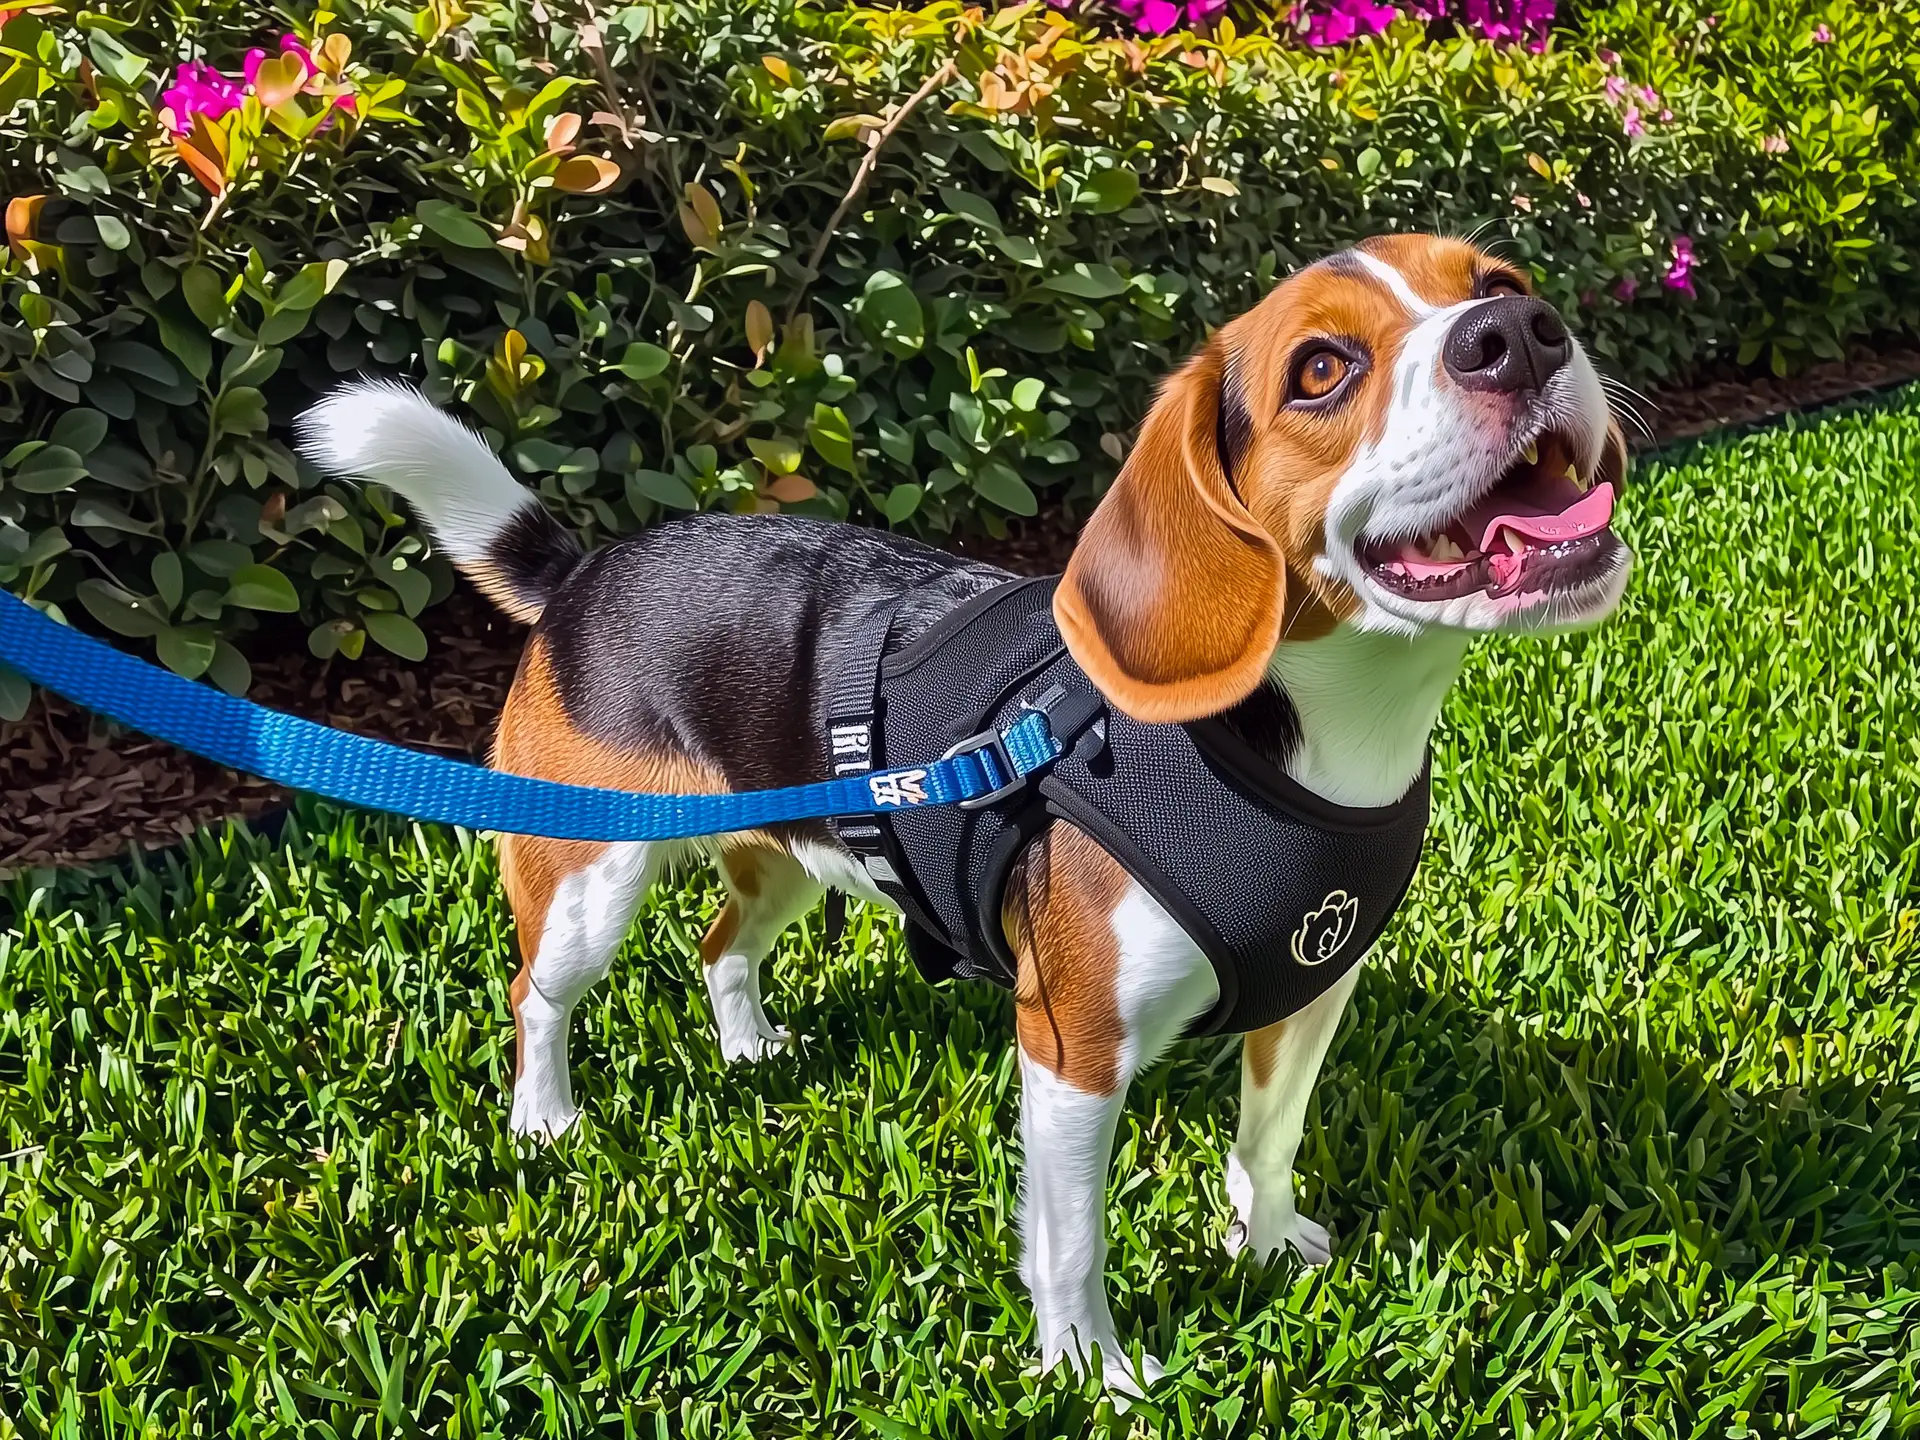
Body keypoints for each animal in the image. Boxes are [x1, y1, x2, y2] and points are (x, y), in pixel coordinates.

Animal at [295, 237, 1620, 1397]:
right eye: (1322, 370)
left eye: (1498, 278)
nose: (1518, 331)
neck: (1322, 744)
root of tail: (580, 571)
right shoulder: (1073, 1046)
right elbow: (1071, 1243)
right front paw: (1094, 1372)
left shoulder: (1309, 994)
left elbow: (1268, 1141)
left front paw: (1264, 1238)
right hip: (589, 873)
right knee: (541, 993)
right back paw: (547, 1119)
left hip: (789, 851)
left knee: (722, 948)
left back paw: (748, 1046)